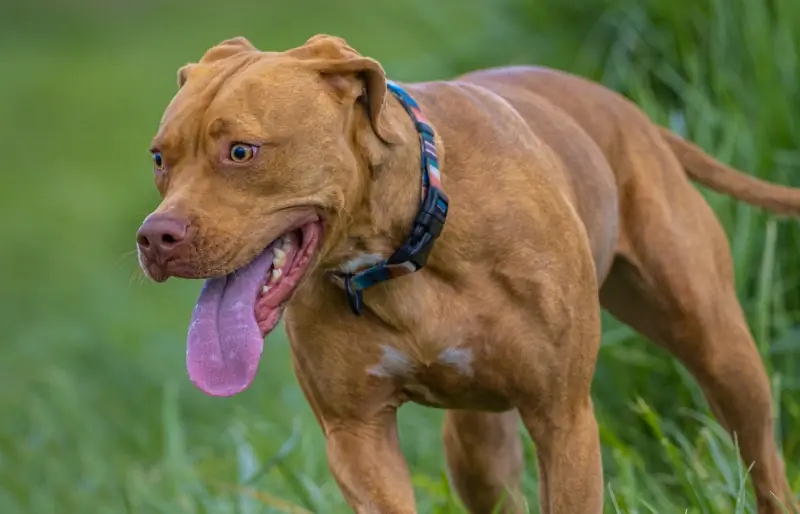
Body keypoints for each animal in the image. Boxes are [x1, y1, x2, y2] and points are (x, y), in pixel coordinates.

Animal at [138, 34, 800, 510]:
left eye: (241, 152)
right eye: (159, 157)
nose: (155, 237)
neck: (403, 252)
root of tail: (631, 114)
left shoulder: (564, 422)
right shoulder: (357, 437)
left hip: (720, 351)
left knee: (762, 456)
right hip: (476, 447)